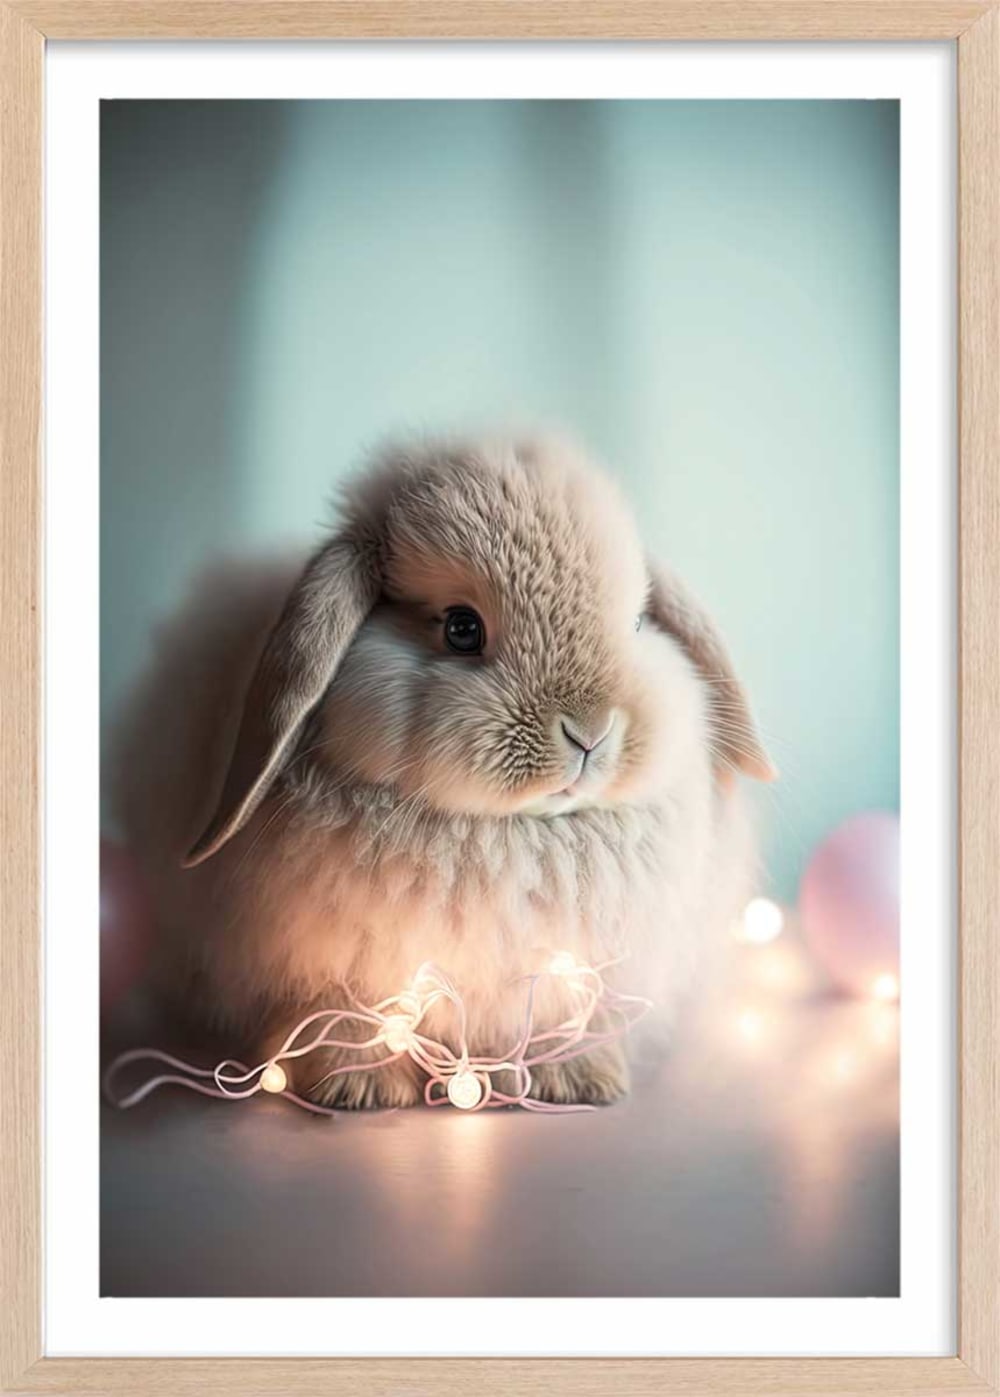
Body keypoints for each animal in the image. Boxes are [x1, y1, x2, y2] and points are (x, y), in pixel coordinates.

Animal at [111, 434, 775, 1109]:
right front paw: (358, 1088)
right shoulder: (335, 968)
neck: (509, 833)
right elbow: (348, 1014)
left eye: (638, 623)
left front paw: (577, 1080)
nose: (589, 732)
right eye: (461, 628)